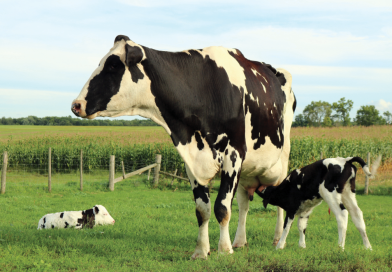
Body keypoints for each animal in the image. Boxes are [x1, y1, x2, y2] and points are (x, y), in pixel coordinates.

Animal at [72, 35, 296, 258]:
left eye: (112, 66)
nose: (76, 104)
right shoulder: (192, 161)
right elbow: (202, 209)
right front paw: (201, 251)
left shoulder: (233, 155)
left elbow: (222, 207)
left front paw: (223, 250)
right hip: (248, 170)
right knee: (243, 204)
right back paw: (240, 241)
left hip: (281, 159)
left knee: (278, 197)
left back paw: (278, 240)